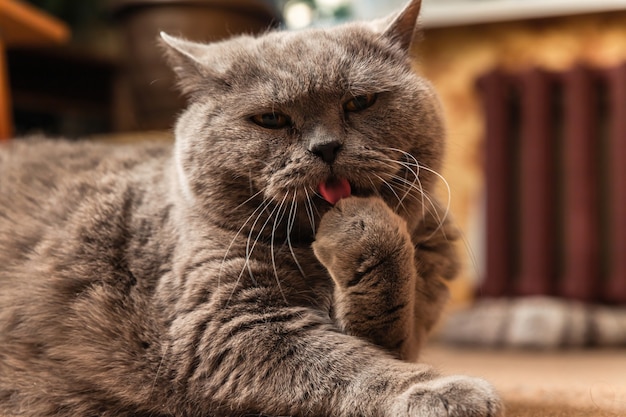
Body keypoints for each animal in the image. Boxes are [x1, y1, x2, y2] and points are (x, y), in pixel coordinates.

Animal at [0, 1, 500, 414]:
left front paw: (362, 227)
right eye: (271, 119)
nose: (326, 147)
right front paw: (441, 391)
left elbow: (386, 320)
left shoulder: (411, 325)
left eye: (359, 101)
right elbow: (346, 364)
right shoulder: (226, 323)